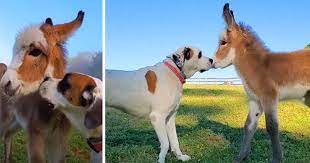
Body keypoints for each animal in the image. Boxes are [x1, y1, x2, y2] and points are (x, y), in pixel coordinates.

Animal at [213, 3, 310, 162]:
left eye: (223, 42)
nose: (212, 61)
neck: (259, 67)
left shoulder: (268, 97)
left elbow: (272, 127)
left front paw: (277, 158)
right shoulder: (255, 100)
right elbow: (249, 125)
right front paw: (240, 157)